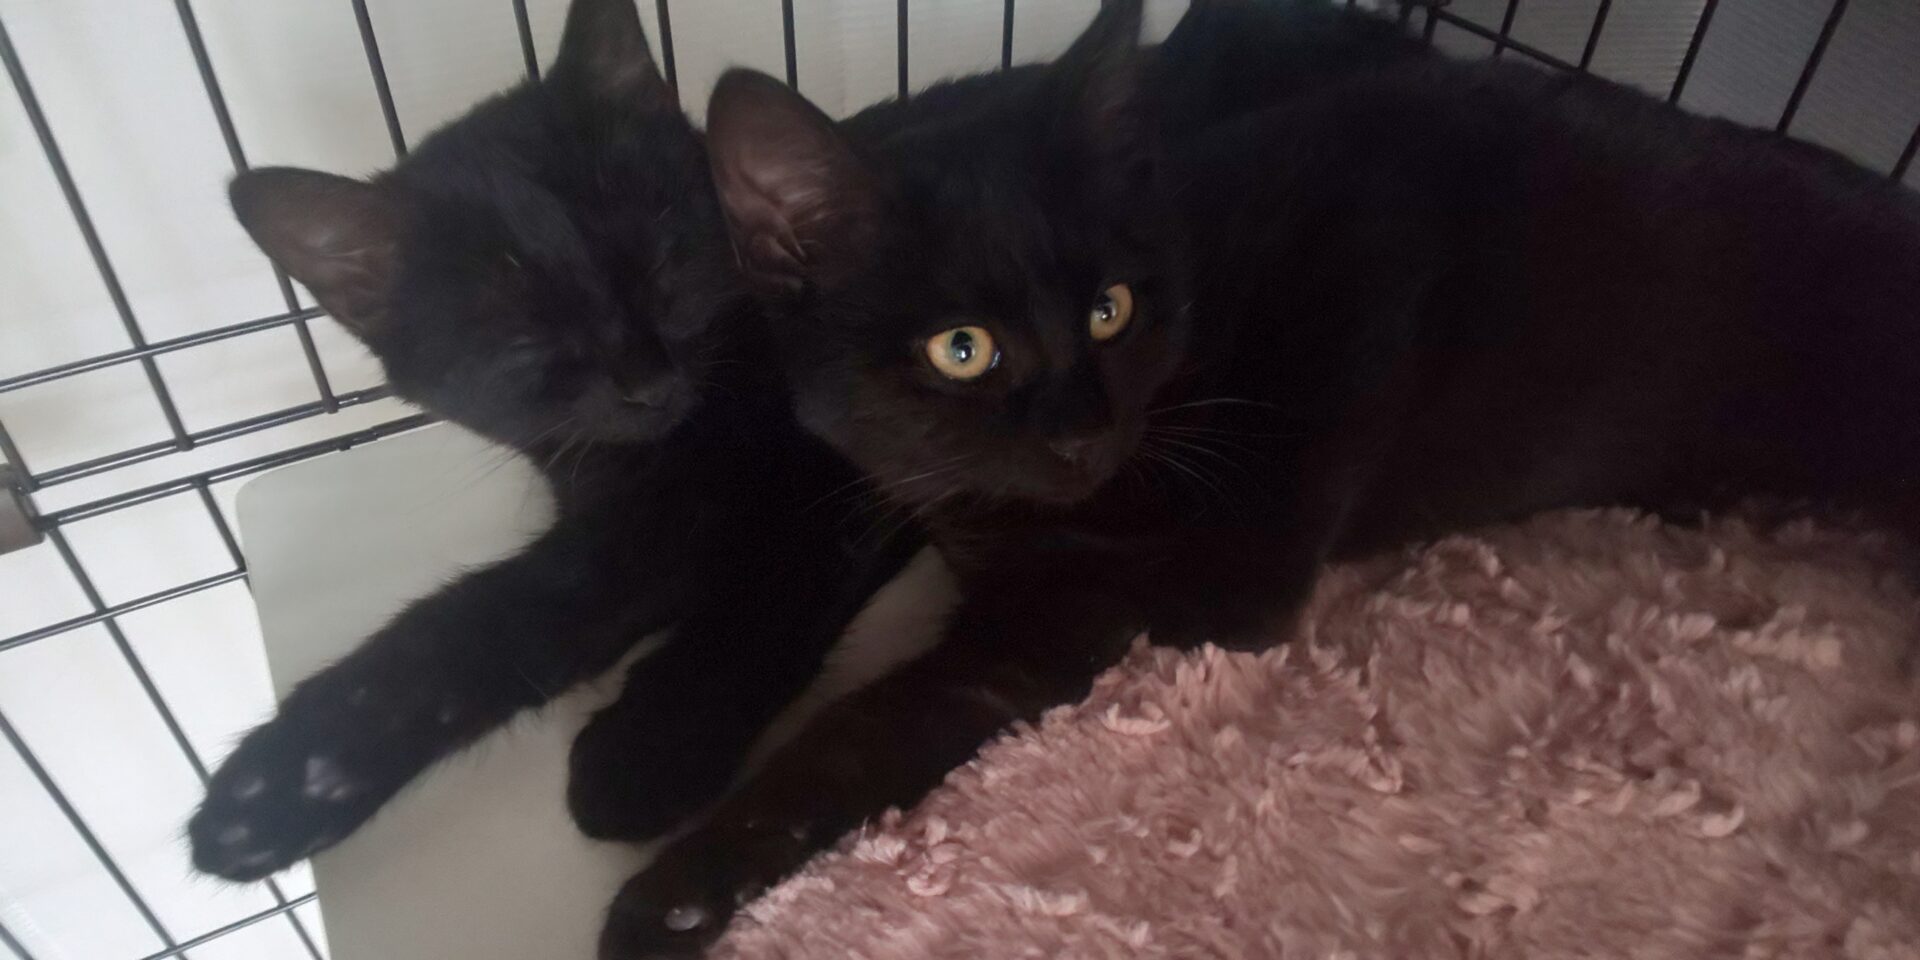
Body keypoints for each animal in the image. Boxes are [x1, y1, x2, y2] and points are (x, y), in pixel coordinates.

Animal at [187, 0, 919, 881]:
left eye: (665, 268)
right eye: (526, 340)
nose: (646, 379)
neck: (682, 448)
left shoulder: (857, 473)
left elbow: (776, 582)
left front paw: (645, 749)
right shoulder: (622, 522)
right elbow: (490, 617)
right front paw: (290, 782)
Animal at [593, 1, 1920, 955]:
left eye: (1110, 309)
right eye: (960, 349)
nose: (1082, 429)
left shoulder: (1155, 598)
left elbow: (856, 731)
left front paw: (662, 900)